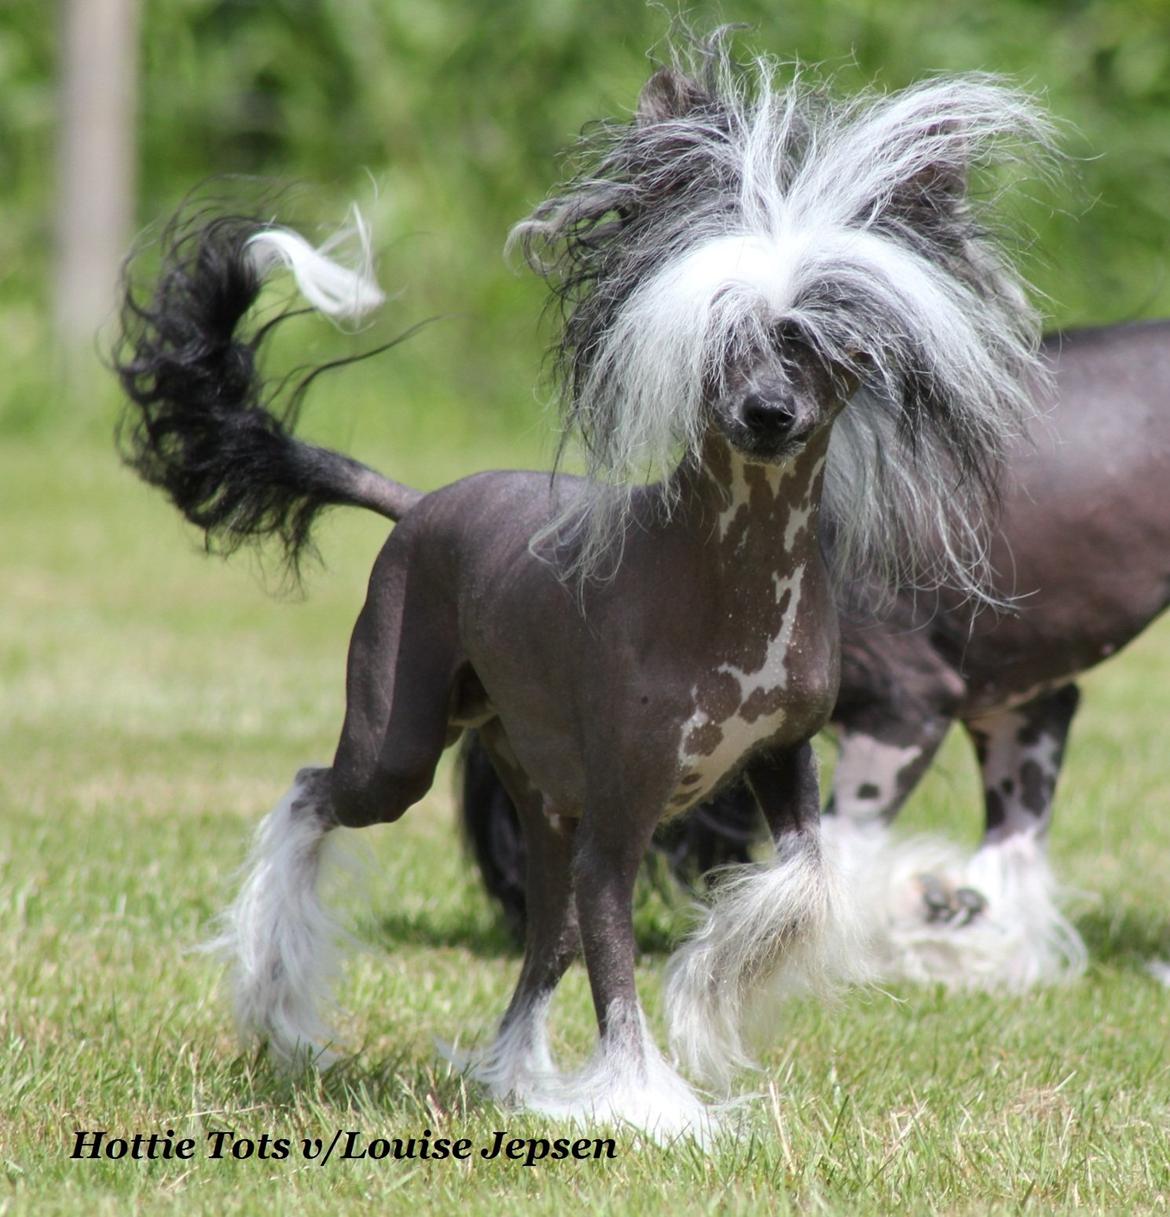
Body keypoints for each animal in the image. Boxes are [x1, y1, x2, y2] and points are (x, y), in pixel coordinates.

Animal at [116, 40, 1051, 1139]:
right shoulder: (619, 824)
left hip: (538, 797)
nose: (767, 412)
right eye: (723, 334)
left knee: (543, 944)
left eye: (821, 339)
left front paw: (715, 989)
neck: (728, 578)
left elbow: (801, 882)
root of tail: (423, 500)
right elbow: (617, 978)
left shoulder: (782, 760)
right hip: (401, 746)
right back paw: (276, 989)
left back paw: (515, 1076)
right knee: (316, 794)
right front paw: (651, 1105)